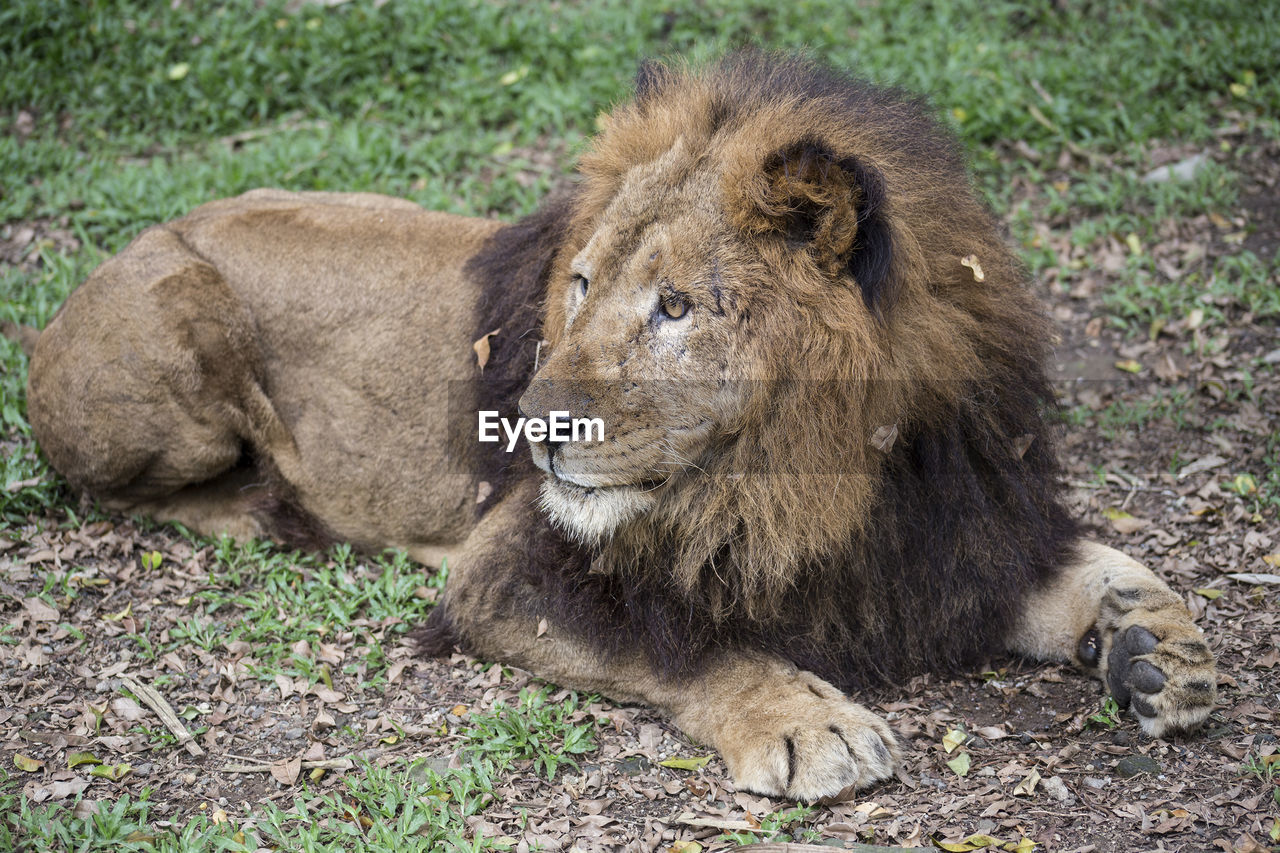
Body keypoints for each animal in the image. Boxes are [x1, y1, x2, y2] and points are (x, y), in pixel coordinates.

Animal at [24, 51, 1213, 799]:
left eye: (675, 308)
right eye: (583, 284)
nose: (528, 431)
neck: (821, 475)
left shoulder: (950, 535)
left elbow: (1106, 569)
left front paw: (1160, 650)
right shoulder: (506, 569)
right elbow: (682, 642)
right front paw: (807, 722)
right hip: (178, 339)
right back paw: (272, 511)